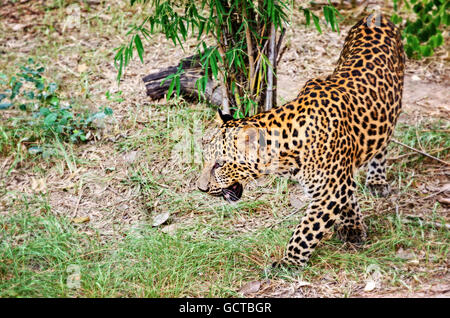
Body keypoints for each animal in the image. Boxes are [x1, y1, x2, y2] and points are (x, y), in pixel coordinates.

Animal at [196, 14, 404, 268]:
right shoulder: (340, 180)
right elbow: (348, 197)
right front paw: (352, 226)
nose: (201, 188)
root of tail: (375, 16)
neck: (286, 148)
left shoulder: (330, 189)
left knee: (383, 144)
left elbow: (306, 230)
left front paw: (288, 262)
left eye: (220, 164)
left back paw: (376, 180)